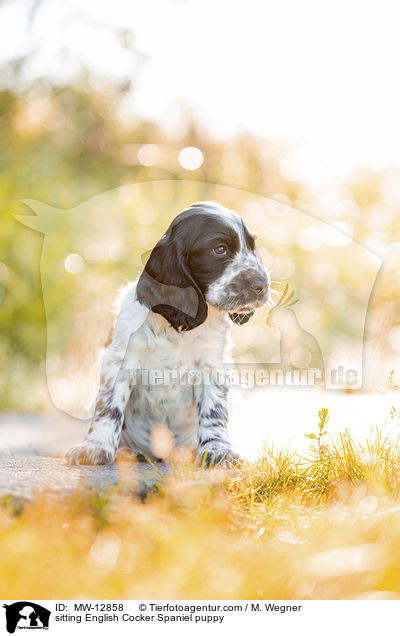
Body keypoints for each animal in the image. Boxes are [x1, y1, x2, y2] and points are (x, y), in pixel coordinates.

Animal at [65, 202, 270, 468]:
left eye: (253, 248)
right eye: (219, 249)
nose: (262, 286)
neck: (179, 330)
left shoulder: (213, 364)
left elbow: (214, 411)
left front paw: (218, 450)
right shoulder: (120, 362)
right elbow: (108, 408)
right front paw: (94, 448)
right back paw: (130, 453)